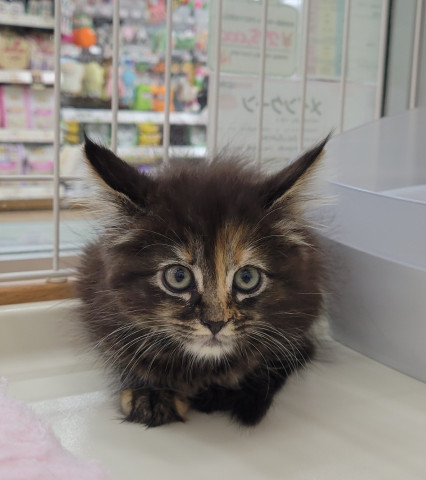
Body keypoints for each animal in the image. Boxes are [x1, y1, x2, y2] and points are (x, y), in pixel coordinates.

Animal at [77, 134, 329, 428]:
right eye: (178, 276)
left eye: (247, 278)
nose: (215, 323)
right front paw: (151, 392)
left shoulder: (300, 318)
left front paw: (223, 392)